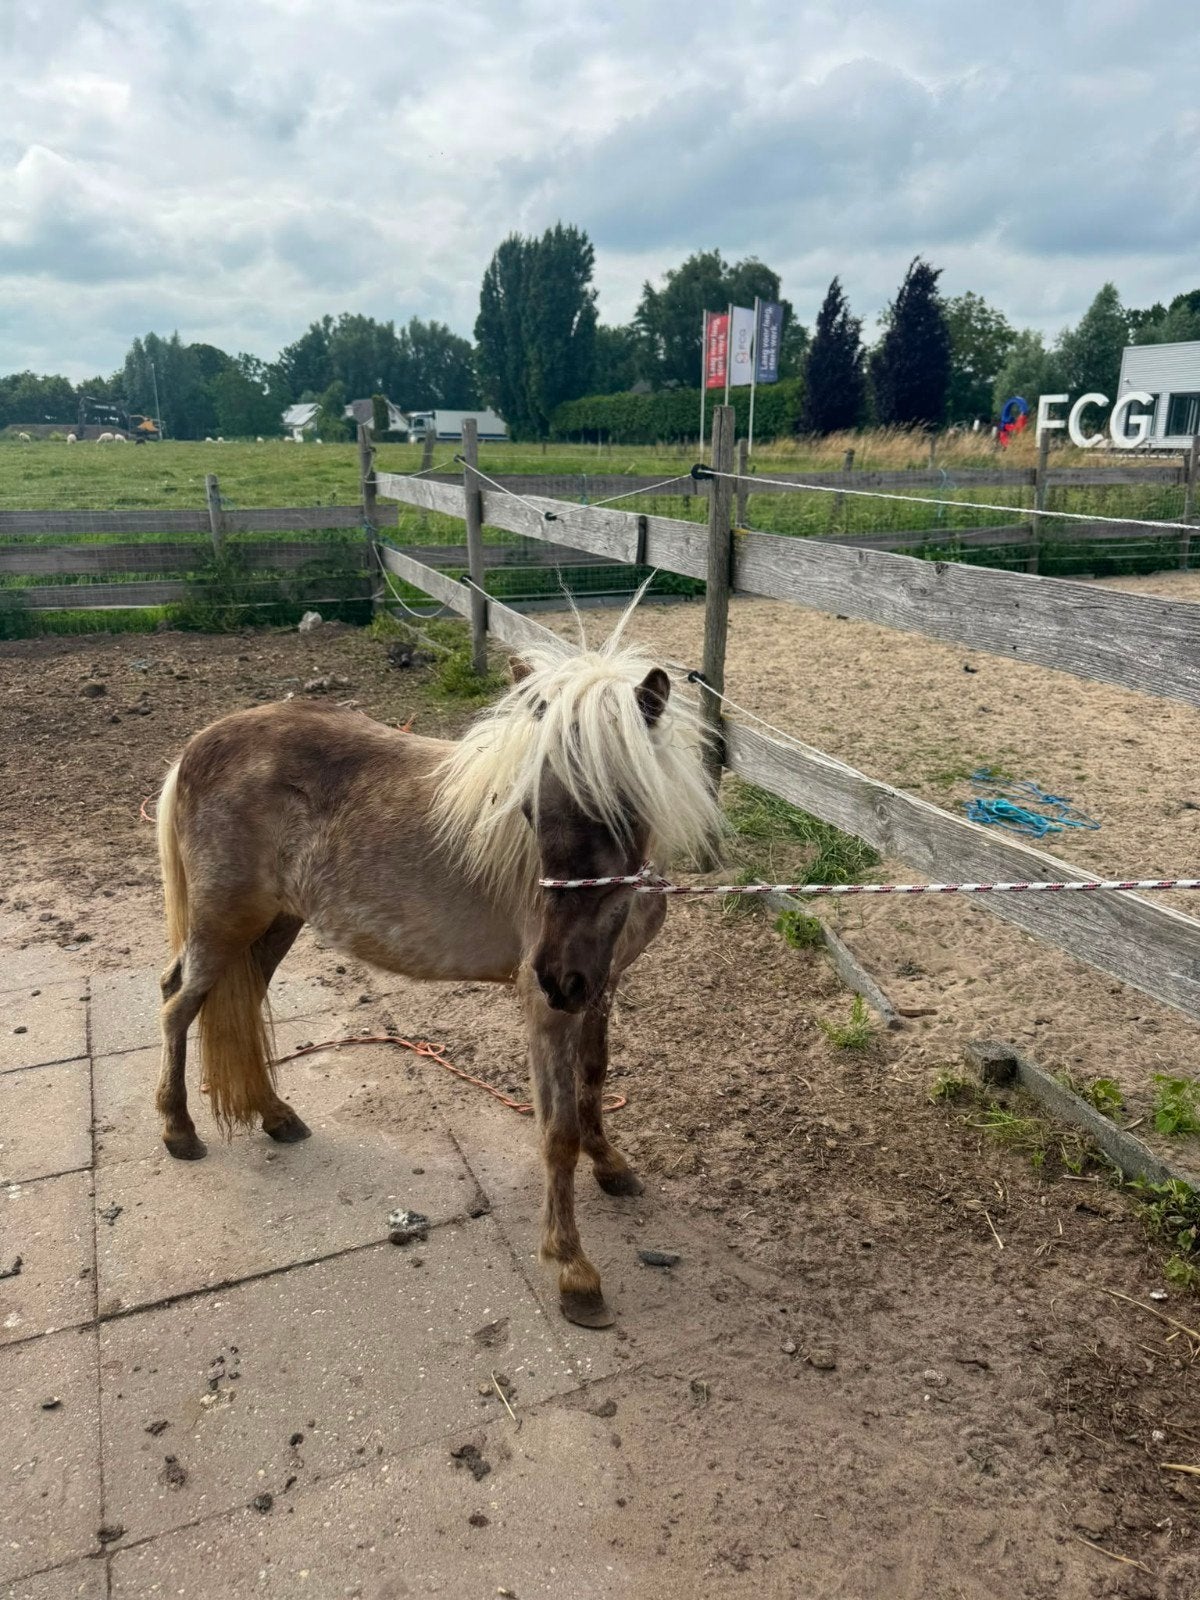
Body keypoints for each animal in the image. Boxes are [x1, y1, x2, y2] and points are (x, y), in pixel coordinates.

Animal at [154, 617, 721, 1328]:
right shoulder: (549, 1008)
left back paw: (276, 1115)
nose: (557, 974)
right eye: (528, 811)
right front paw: (573, 1270)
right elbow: (557, 1130)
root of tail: (196, 748)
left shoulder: (599, 987)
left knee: (239, 1002)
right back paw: (179, 1130)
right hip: (223, 924)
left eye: (624, 811)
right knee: (177, 1004)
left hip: (274, 926)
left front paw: (610, 1165)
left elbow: (594, 1079)